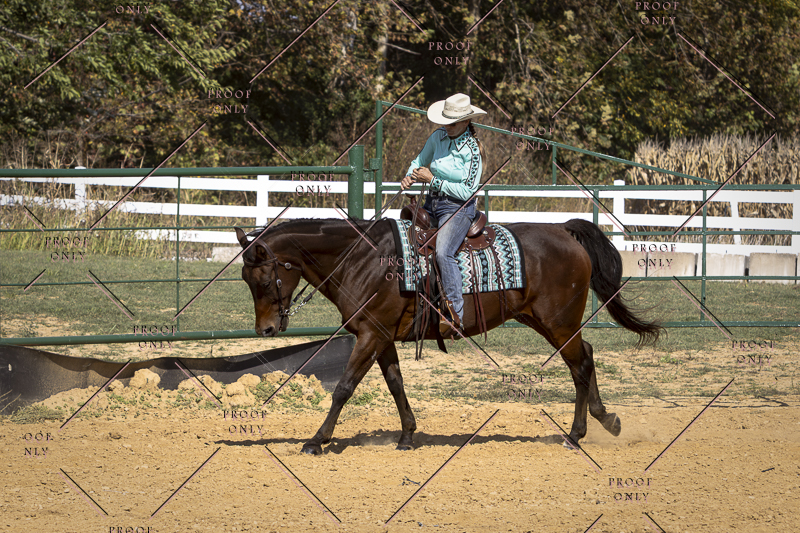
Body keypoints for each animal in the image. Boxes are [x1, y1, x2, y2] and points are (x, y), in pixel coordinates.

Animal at [234, 217, 661, 455]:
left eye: (264, 279)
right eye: (246, 280)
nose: (265, 329)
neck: (363, 258)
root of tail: (563, 231)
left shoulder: (370, 335)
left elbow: (343, 387)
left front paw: (316, 440)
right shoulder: (382, 337)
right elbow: (395, 384)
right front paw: (407, 436)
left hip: (558, 323)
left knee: (580, 363)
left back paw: (578, 433)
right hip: (545, 322)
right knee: (584, 357)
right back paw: (601, 421)